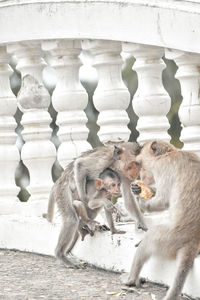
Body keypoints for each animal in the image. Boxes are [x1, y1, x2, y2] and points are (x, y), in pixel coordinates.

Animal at [122, 141, 200, 300]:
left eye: (139, 163)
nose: (141, 175)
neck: (170, 153)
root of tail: (193, 240)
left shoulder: (162, 167)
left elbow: (163, 200)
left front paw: (141, 199)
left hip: (168, 238)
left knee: (148, 242)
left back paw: (131, 279)